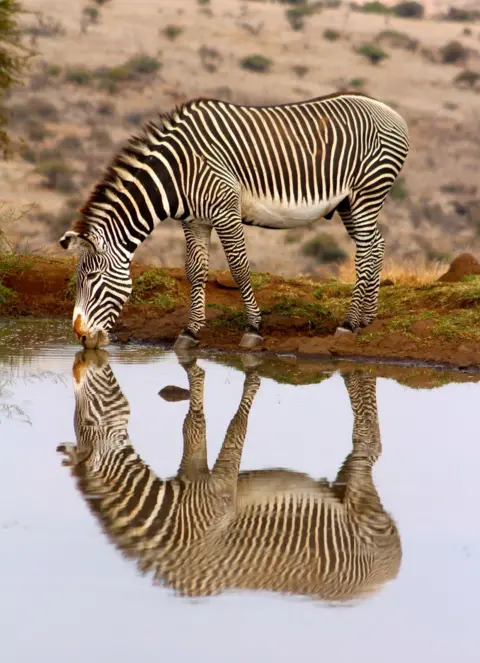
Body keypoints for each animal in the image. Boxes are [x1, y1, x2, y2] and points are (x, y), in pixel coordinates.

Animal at [58, 92, 409, 350]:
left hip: (367, 192)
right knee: (375, 245)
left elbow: (239, 269)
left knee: (365, 252)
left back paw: (349, 324)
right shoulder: (195, 221)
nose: (81, 337)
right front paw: (190, 332)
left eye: (91, 279)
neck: (177, 171)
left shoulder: (226, 213)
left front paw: (253, 329)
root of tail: (390, 111)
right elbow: (195, 271)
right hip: (349, 202)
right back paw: (367, 319)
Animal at [58, 352, 402, 601]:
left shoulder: (219, 491)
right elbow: (193, 427)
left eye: (87, 416)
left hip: (362, 500)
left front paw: (252, 380)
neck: (173, 517)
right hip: (341, 487)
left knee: (370, 451)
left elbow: (235, 429)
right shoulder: (192, 474)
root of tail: (388, 575)